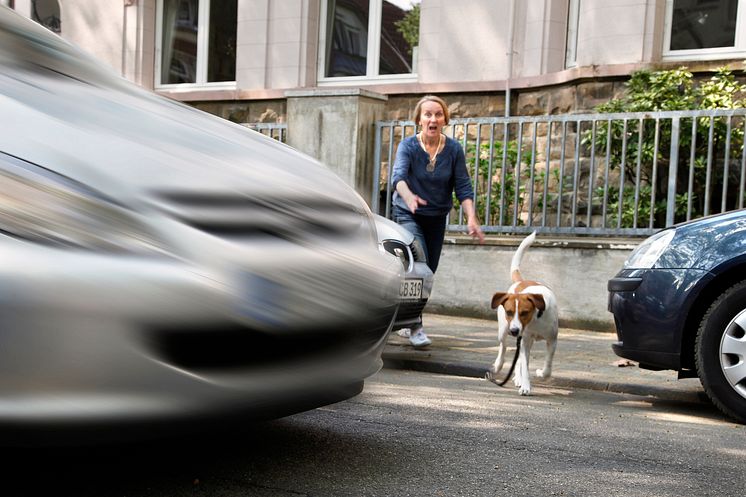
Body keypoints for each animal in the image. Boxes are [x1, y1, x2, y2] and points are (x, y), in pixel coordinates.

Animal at [488, 232, 560, 396]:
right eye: (509, 312)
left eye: (524, 312)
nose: (514, 330)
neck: (536, 319)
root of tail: (520, 281)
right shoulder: (524, 340)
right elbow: (525, 367)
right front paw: (526, 386)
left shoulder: (552, 340)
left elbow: (547, 367)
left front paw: (540, 373)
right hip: (504, 330)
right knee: (503, 347)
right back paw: (499, 365)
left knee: (518, 359)